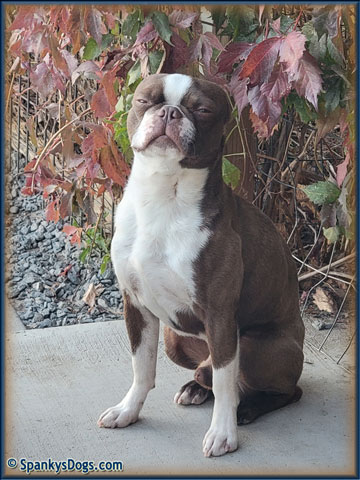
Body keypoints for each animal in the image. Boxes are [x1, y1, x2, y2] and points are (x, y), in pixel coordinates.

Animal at [97, 74, 306, 458]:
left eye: (204, 110)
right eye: (144, 100)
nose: (169, 112)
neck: (163, 197)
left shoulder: (220, 313)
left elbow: (225, 383)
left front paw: (223, 433)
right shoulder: (135, 304)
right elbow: (141, 367)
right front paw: (128, 410)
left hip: (253, 346)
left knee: (280, 389)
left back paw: (248, 408)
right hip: (173, 339)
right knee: (206, 373)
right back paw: (195, 389)